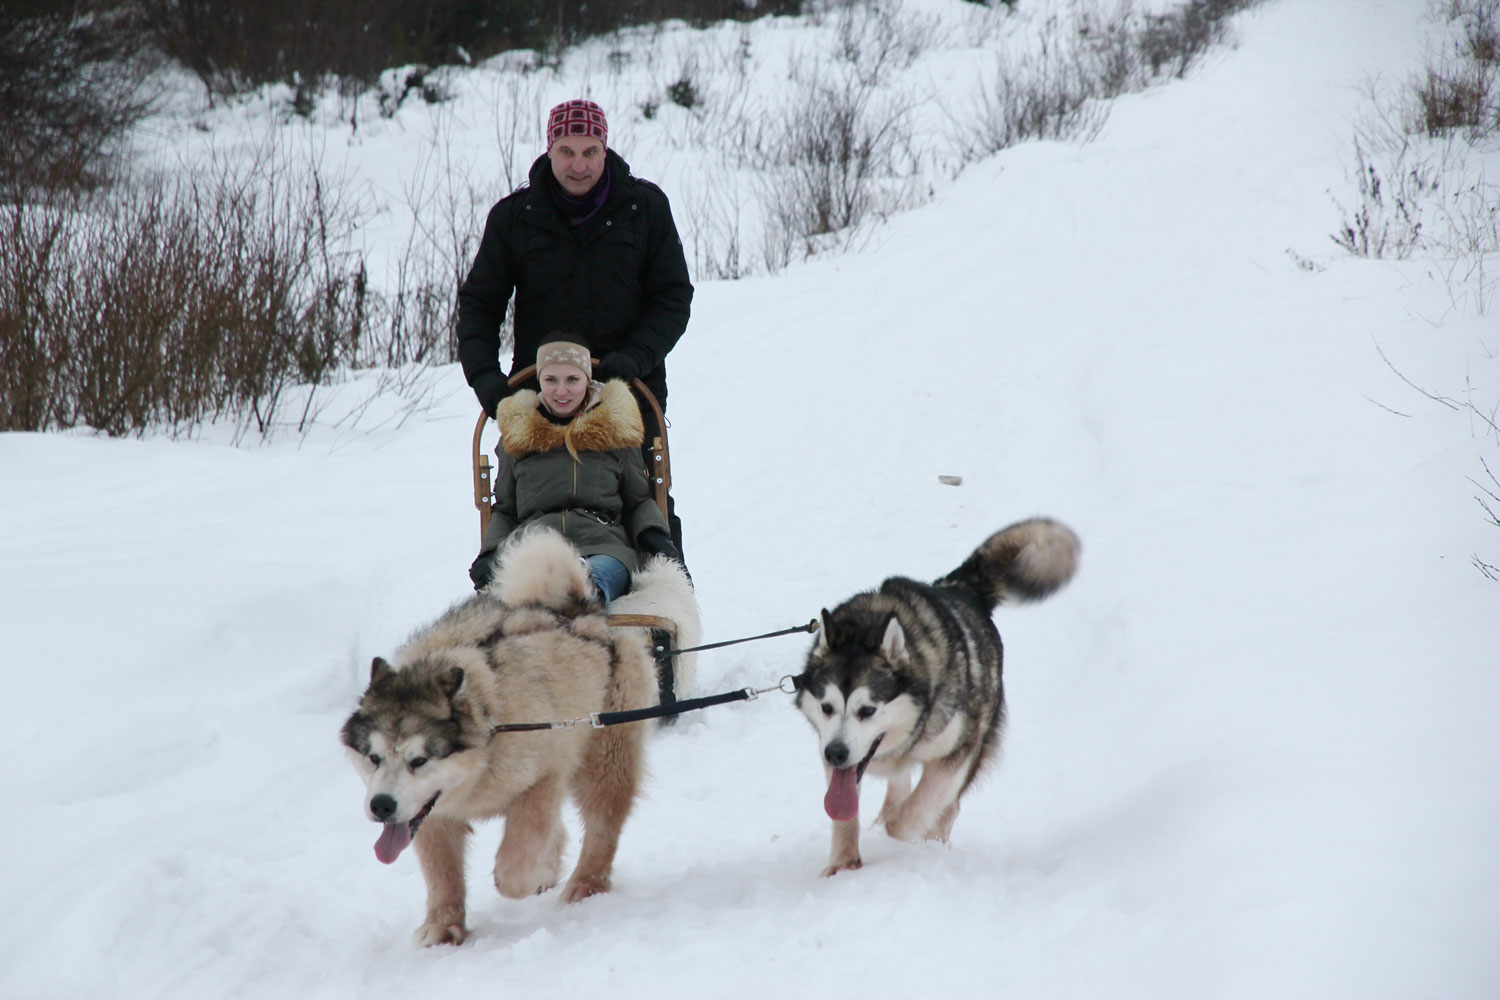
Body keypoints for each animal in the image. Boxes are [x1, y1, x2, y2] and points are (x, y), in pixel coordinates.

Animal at [340, 528, 695, 945]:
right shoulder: (431, 815)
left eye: (419, 759)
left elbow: (514, 868)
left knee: (601, 827)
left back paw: (585, 883)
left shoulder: (541, 779)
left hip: (606, 758)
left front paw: (533, 873)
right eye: (373, 757)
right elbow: (442, 873)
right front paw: (444, 924)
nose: (381, 806)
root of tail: (578, 613)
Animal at [793, 517, 1080, 876]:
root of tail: (958, 587)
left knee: (949, 805)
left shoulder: (957, 751)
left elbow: (915, 811)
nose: (836, 753)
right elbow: (846, 813)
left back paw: (931, 841)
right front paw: (843, 865)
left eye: (867, 710)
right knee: (900, 784)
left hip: (979, 735)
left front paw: (903, 830)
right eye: (826, 707)